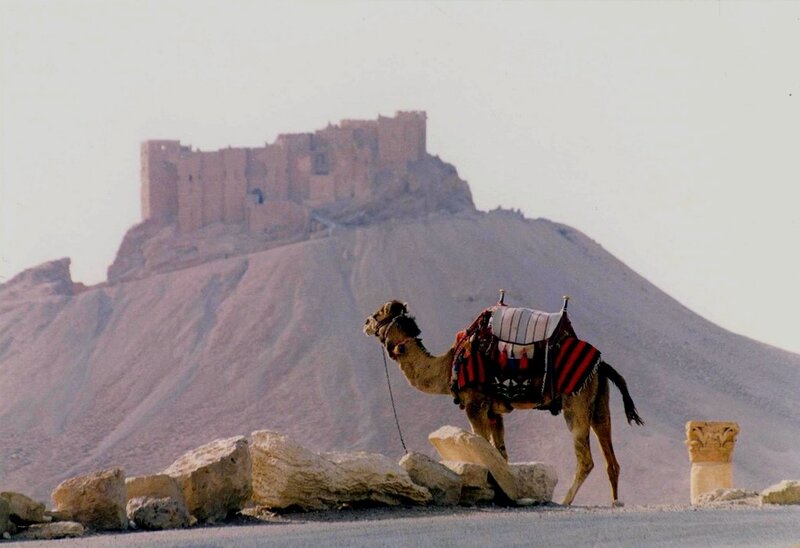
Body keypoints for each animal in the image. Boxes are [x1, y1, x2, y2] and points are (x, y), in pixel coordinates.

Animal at [363, 299, 643, 506]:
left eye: (379, 313)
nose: (365, 322)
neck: (449, 365)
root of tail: (601, 364)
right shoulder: (494, 412)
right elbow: (499, 454)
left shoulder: (475, 404)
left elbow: (481, 445)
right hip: (599, 401)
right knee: (611, 458)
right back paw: (615, 501)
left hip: (575, 402)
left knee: (586, 459)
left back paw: (565, 502)